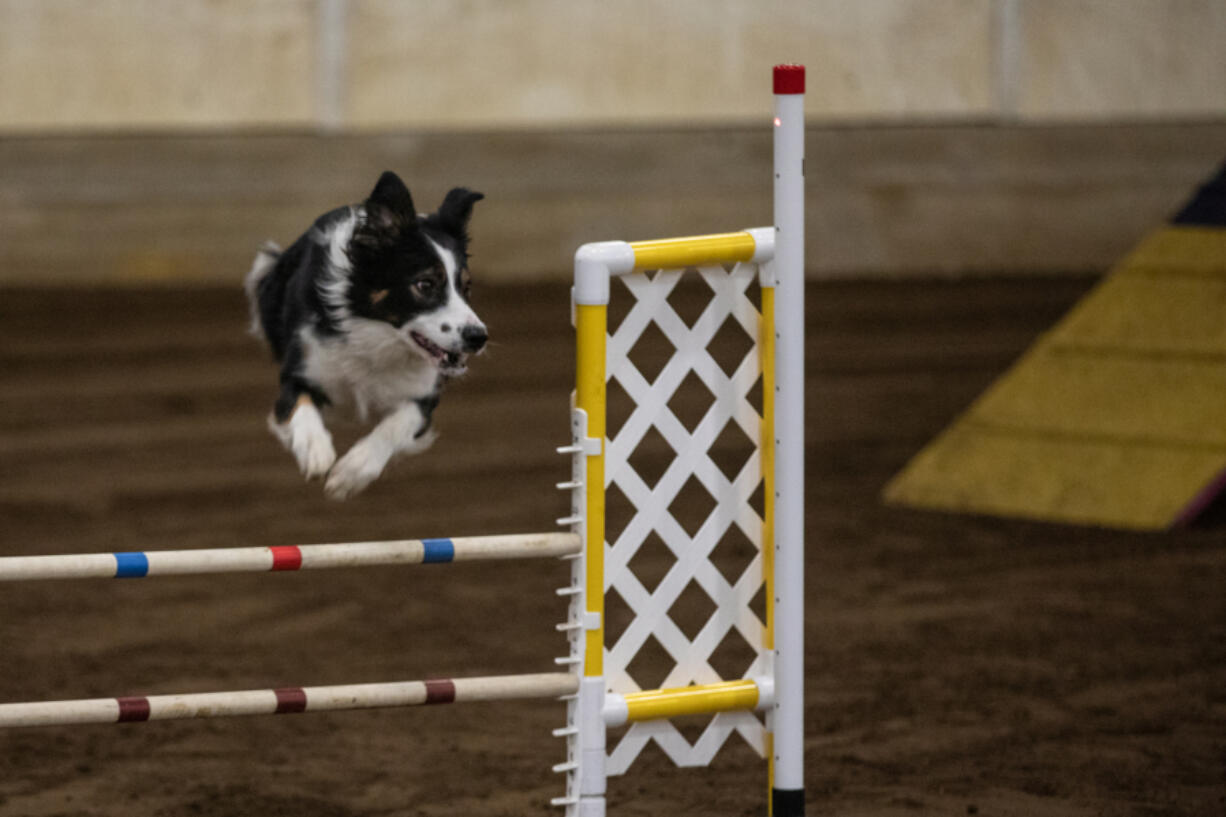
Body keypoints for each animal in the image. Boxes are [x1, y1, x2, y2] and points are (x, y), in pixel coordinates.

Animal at [241, 170, 485, 495]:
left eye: (466, 287)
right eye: (425, 284)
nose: (478, 337)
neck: (378, 336)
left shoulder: (424, 396)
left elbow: (398, 424)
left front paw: (352, 472)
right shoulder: (301, 370)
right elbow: (300, 406)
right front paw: (316, 452)